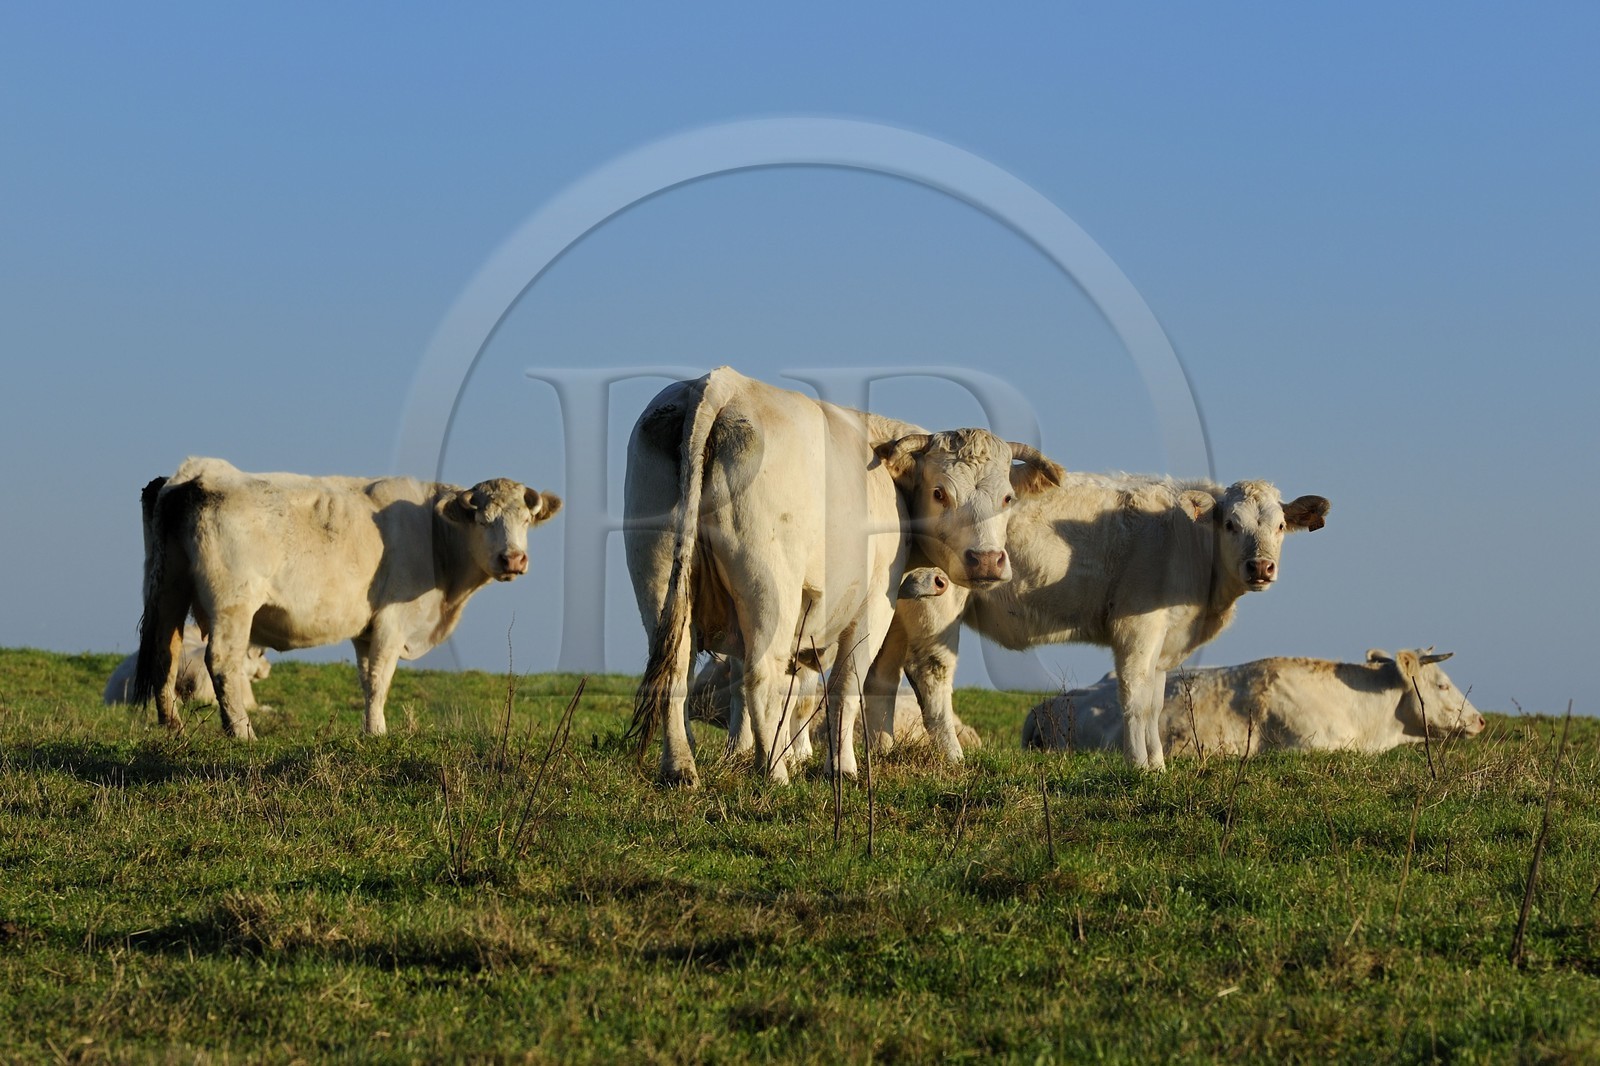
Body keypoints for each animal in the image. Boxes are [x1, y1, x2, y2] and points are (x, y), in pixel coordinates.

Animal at [132, 457, 561, 738]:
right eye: (483, 521)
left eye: (526, 520)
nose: (513, 558)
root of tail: (197, 472)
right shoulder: (391, 619)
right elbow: (380, 678)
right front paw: (378, 733)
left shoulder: (365, 628)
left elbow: (366, 677)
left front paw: (371, 729)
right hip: (232, 604)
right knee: (222, 661)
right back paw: (242, 732)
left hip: (169, 587)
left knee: (165, 652)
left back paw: (172, 725)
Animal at [624, 367, 1060, 786]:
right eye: (940, 493)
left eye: (1007, 497)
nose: (986, 561)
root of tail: (725, 385)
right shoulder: (874, 605)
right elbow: (847, 687)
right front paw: (841, 768)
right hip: (768, 589)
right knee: (760, 676)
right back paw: (773, 773)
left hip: (657, 574)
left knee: (674, 672)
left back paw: (681, 769)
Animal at [864, 475, 1330, 770]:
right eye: (1231, 524)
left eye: (1281, 525)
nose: (1261, 567)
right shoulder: (1137, 626)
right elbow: (1136, 700)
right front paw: (1139, 767)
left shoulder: (1163, 641)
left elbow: (1155, 702)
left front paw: (1158, 766)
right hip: (939, 601)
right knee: (930, 675)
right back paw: (954, 758)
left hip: (898, 610)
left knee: (881, 677)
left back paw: (882, 754)